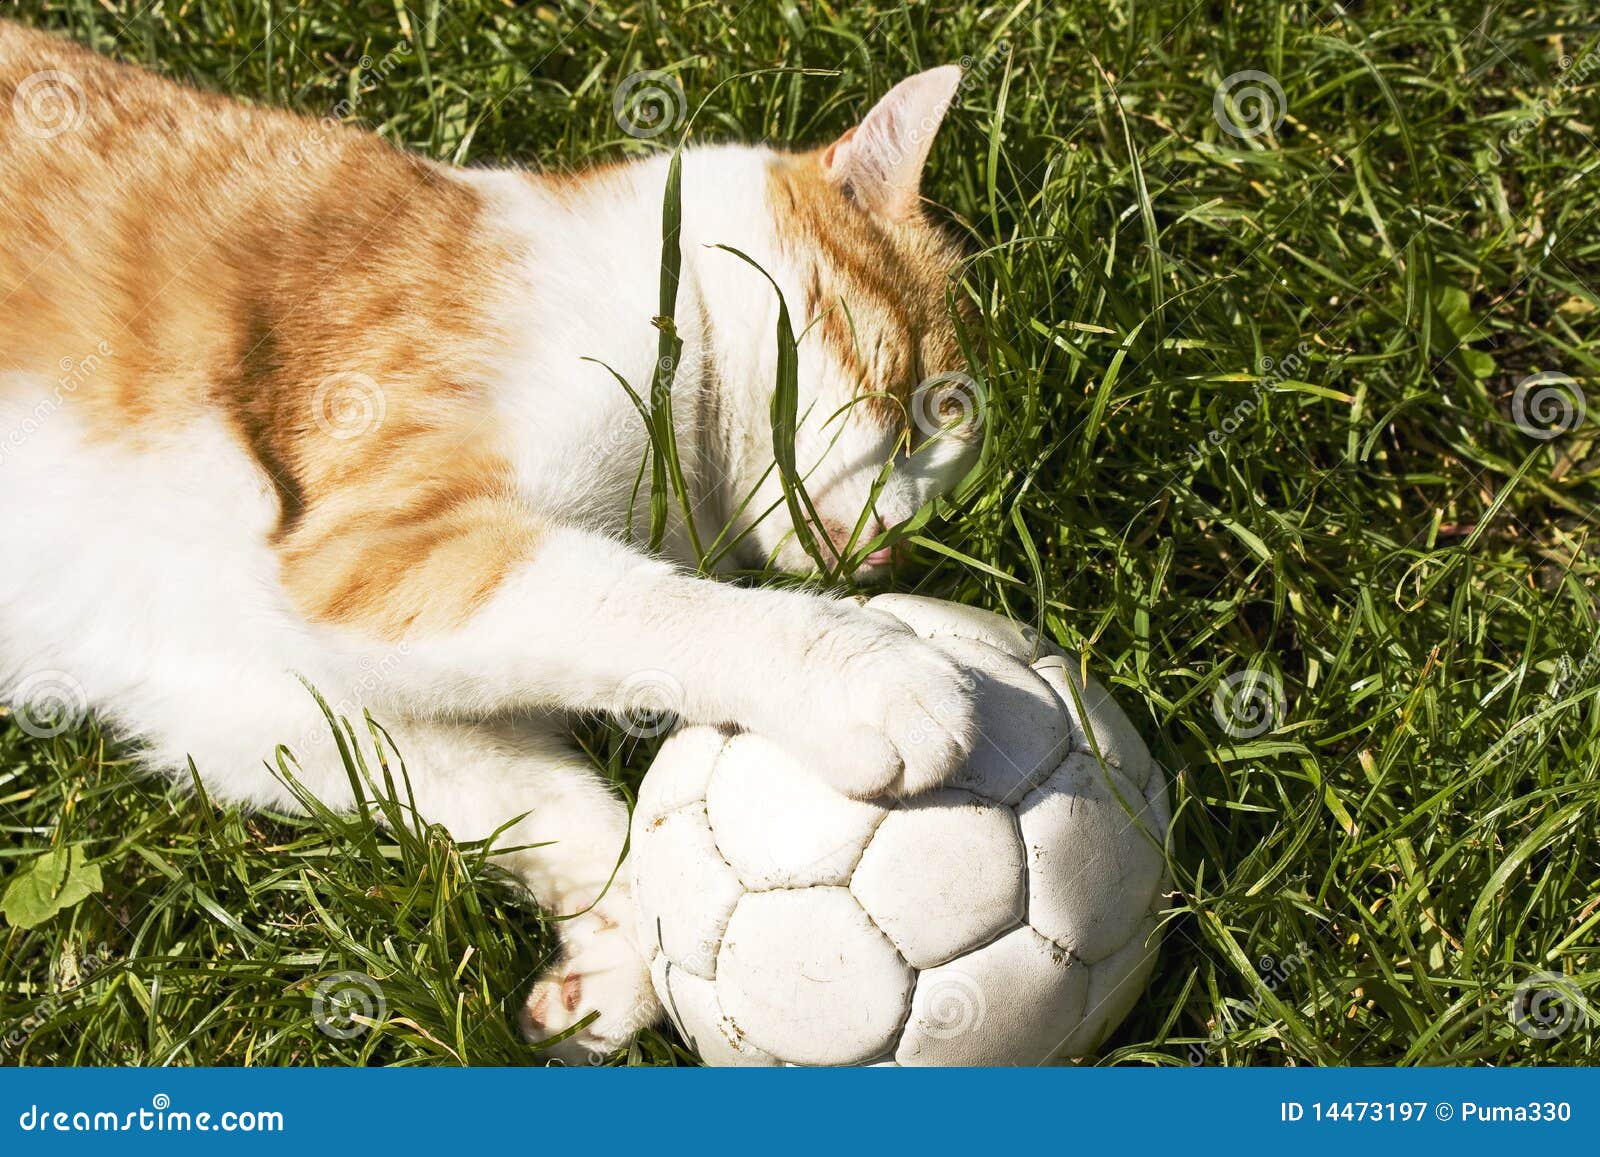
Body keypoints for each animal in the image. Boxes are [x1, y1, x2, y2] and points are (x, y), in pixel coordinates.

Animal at [3, 18, 985, 1062]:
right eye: (923, 407)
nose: (899, 546)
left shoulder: (246, 691)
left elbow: (536, 790)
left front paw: (608, 961)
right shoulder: (371, 553)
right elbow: (639, 605)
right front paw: (866, 673)